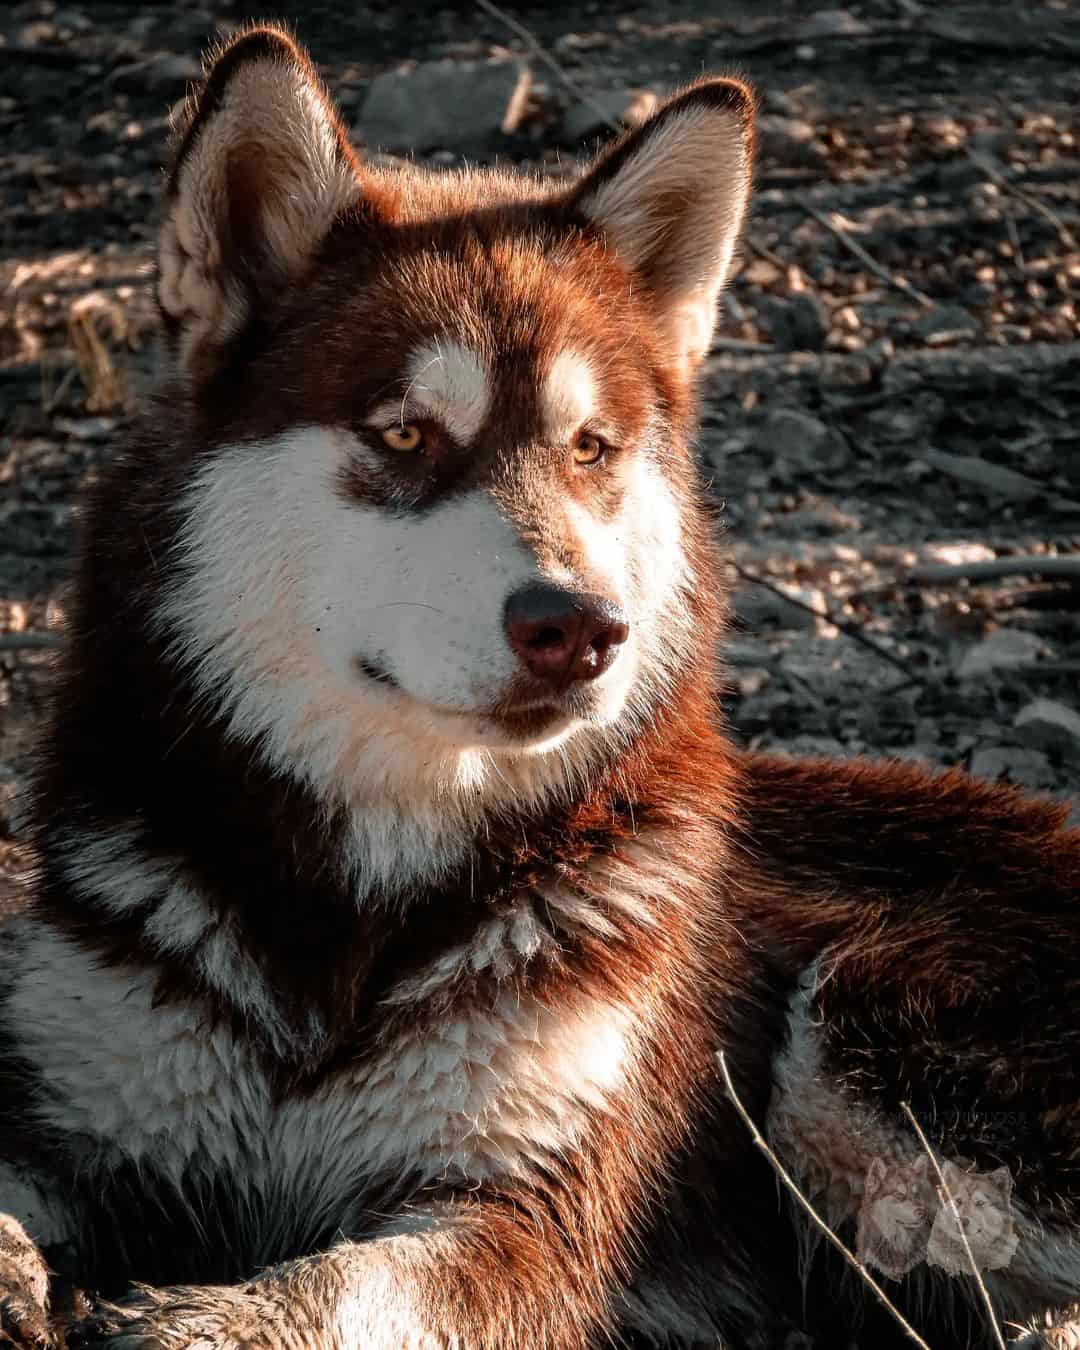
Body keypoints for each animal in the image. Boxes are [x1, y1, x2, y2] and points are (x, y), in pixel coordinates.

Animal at [2, 21, 1080, 1350]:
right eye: (406, 436)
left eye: (591, 449)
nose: (583, 631)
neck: (356, 919)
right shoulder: (81, 1113)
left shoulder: (521, 1210)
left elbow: (342, 1282)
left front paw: (198, 1322)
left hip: (866, 1026)